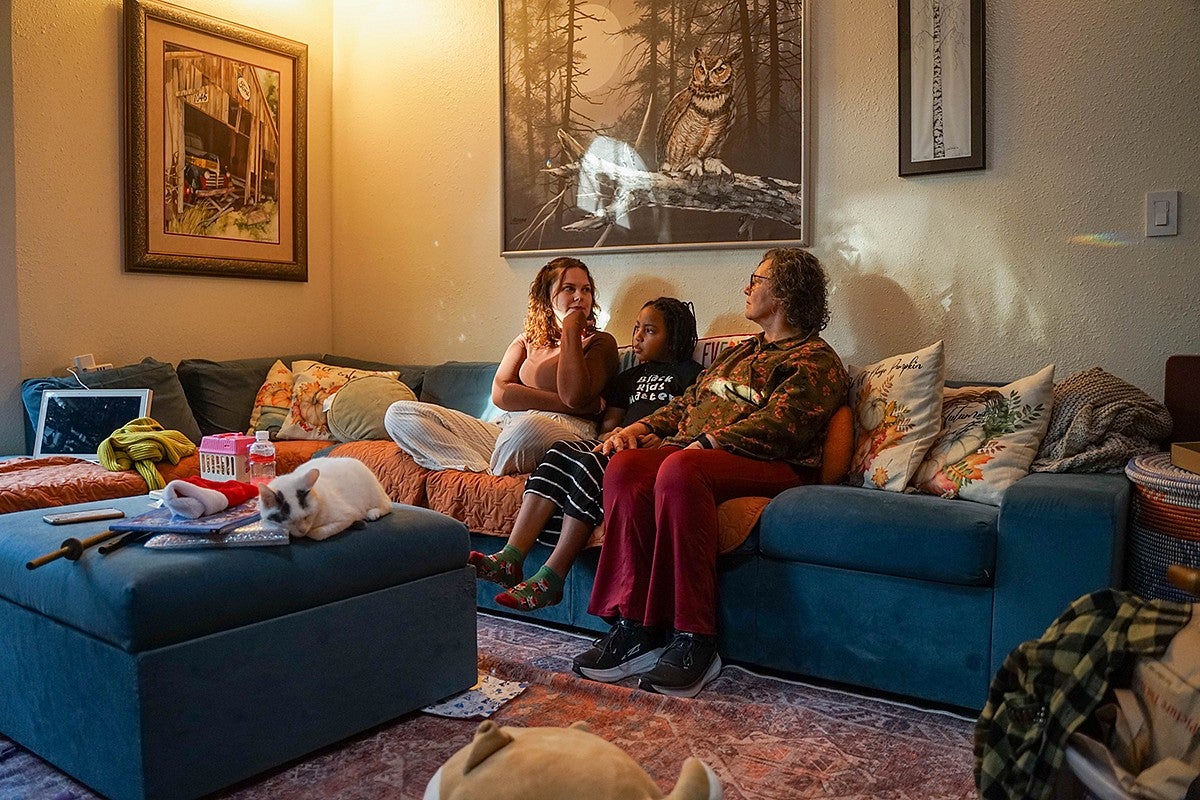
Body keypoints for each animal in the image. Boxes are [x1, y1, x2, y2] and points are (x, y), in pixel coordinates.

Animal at [259, 460, 393, 542]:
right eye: (290, 521)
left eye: (307, 516)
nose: (302, 530)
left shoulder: (347, 516)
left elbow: (317, 533)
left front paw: (309, 532)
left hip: (374, 494)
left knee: (387, 505)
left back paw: (373, 513)